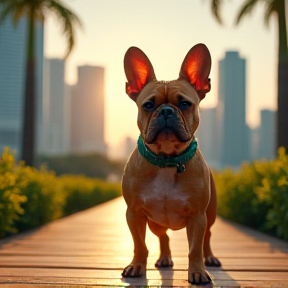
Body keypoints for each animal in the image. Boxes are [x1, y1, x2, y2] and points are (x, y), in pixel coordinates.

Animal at [121, 44, 220, 284]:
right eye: (148, 105)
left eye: (185, 103)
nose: (166, 110)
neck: (166, 161)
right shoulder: (134, 214)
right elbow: (139, 244)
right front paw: (136, 266)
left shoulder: (198, 216)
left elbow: (195, 249)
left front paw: (198, 271)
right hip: (156, 223)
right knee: (163, 236)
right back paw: (165, 258)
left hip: (210, 215)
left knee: (207, 238)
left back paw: (210, 258)